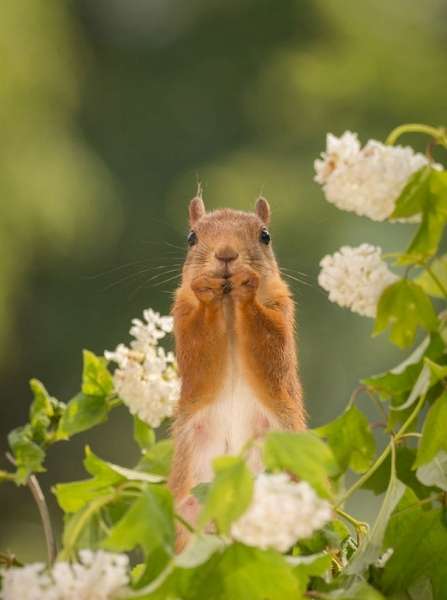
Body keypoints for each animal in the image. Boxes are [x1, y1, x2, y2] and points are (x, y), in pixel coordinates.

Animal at [169, 195, 308, 548]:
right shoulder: (182, 318)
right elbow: (198, 356)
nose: (226, 254)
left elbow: (271, 351)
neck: (228, 308)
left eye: (265, 236)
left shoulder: (282, 311)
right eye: (191, 237)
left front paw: (247, 285)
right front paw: (206, 290)